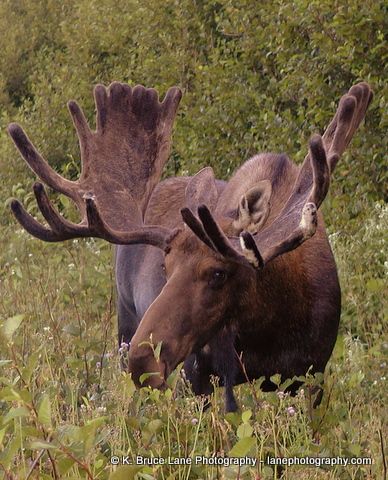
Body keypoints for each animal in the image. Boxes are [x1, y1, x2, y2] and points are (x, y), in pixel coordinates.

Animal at [9, 80, 372, 410]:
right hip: (125, 324)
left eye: (219, 273)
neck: (272, 326)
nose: (143, 361)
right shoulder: (200, 374)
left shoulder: (312, 375)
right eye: (165, 267)